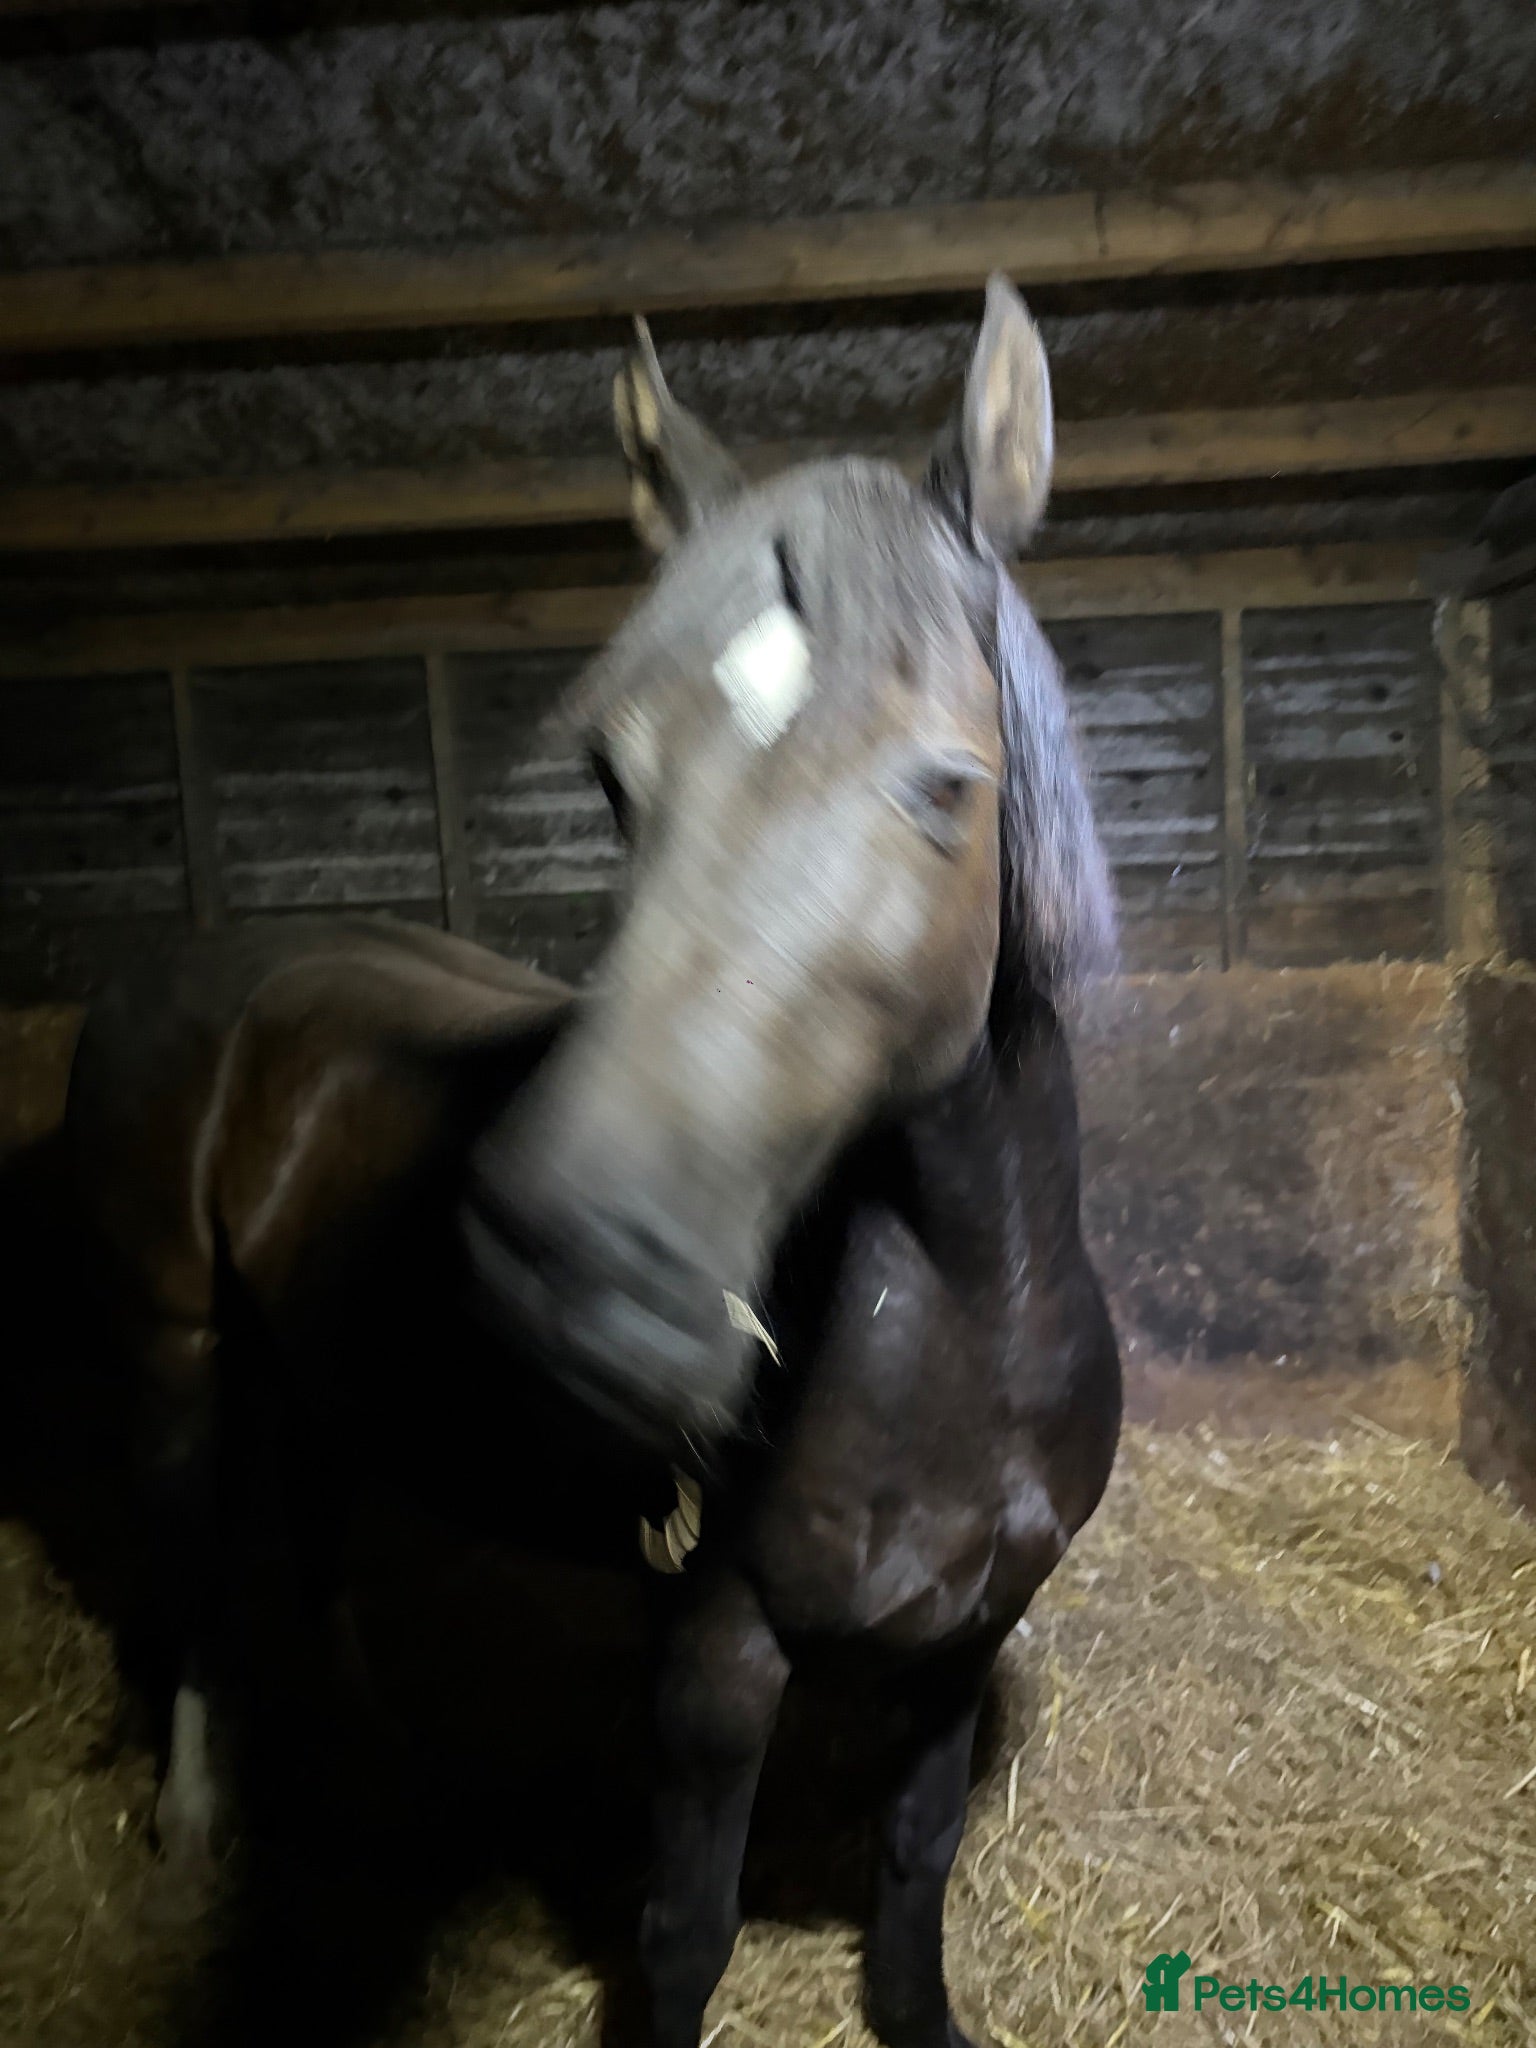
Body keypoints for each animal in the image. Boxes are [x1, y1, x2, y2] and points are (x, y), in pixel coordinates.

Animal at [56, 275, 1121, 2048]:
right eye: (614, 781)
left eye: (943, 785)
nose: (572, 1271)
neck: (962, 1325)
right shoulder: (717, 1657)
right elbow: (682, 1934)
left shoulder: (965, 1641)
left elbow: (914, 1862)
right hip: (171, 1348)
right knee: (197, 1581)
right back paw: (200, 1818)